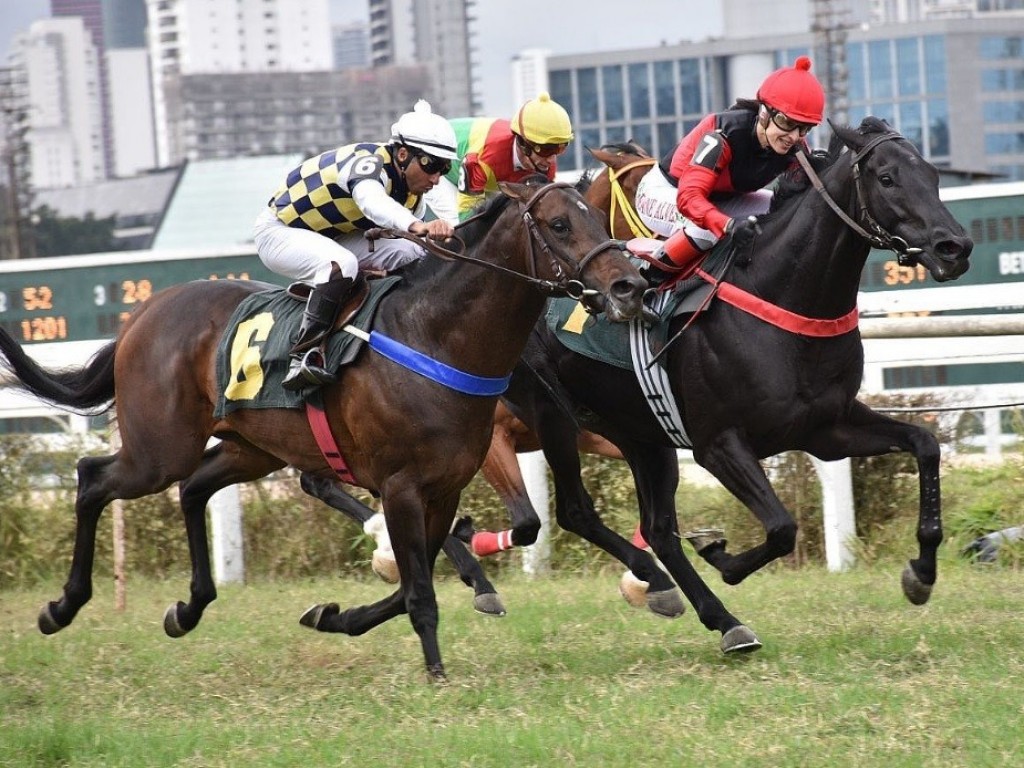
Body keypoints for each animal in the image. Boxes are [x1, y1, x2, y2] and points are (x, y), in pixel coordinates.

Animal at [0, 179, 647, 679]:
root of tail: (141, 315)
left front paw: (336, 617)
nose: (629, 286)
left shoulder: (444, 487)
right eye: (559, 224)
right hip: (159, 448)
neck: (436, 334)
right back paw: (62, 607)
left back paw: (188, 608)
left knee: (194, 488)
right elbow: (419, 589)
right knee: (93, 478)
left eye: (596, 217)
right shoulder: (401, 486)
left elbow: (414, 580)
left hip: (250, 449)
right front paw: (436, 673)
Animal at [495, 117, 974, 651]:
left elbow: (925, 444)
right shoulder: (718, 445)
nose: (955, 248)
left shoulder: (826, 429)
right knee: (579, 512)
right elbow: (782, 528)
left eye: (932, 174)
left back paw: (716, 617)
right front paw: (721, 555)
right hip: (554, 415)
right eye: (887, 179)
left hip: (640, 434)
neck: (782, 294)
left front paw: (922, 572)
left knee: (657, 528)